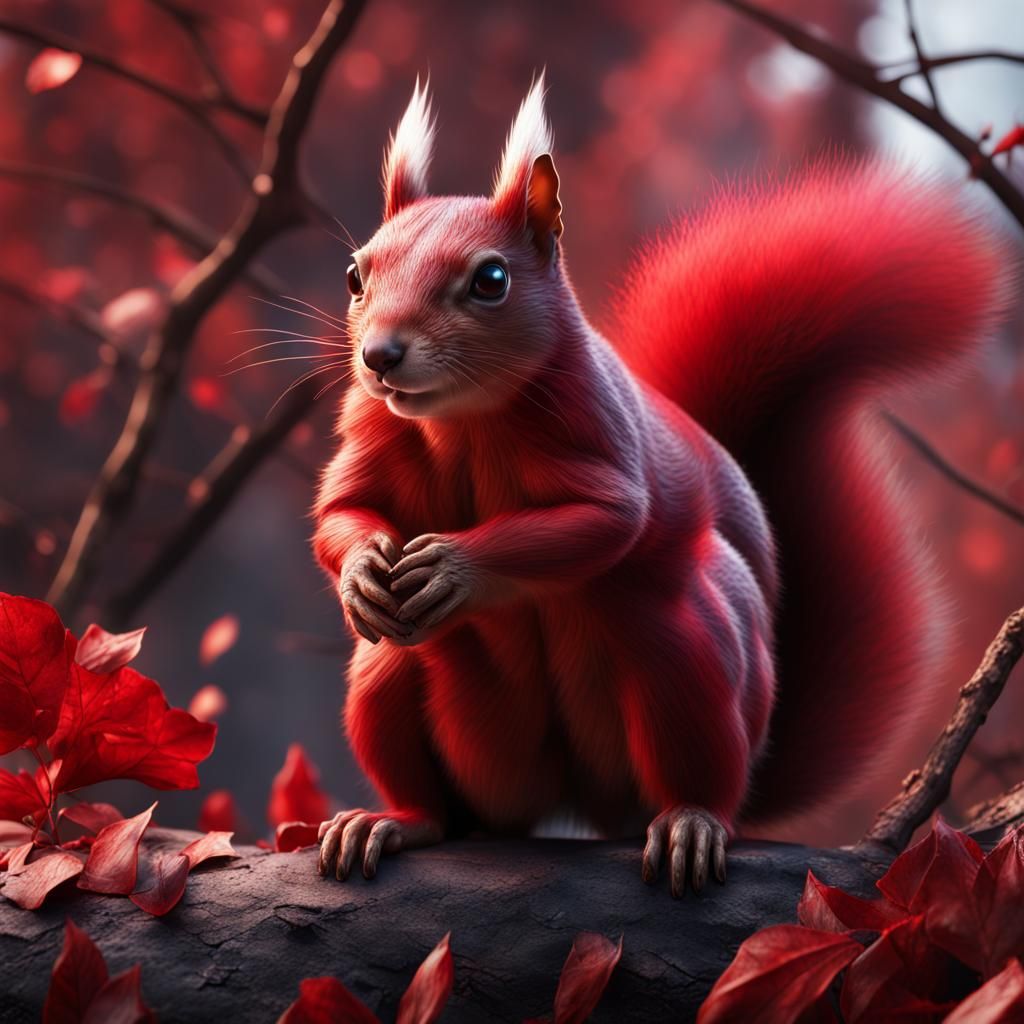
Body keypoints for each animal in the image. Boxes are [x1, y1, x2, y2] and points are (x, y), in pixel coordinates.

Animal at [313, 77, 1009, 897]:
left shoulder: (601, 433)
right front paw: (363, 570)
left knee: (699, 764)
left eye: (491, 280)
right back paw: (393, 821)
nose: (380, 356)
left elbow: (603, 521)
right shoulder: (368, 428)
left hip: (687, 658)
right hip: (403, 688)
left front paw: (455, 567)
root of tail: (578, 800)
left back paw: (691, 822)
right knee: (437, 785)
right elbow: (340, 511)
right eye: (355, 275)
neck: (463, 422)